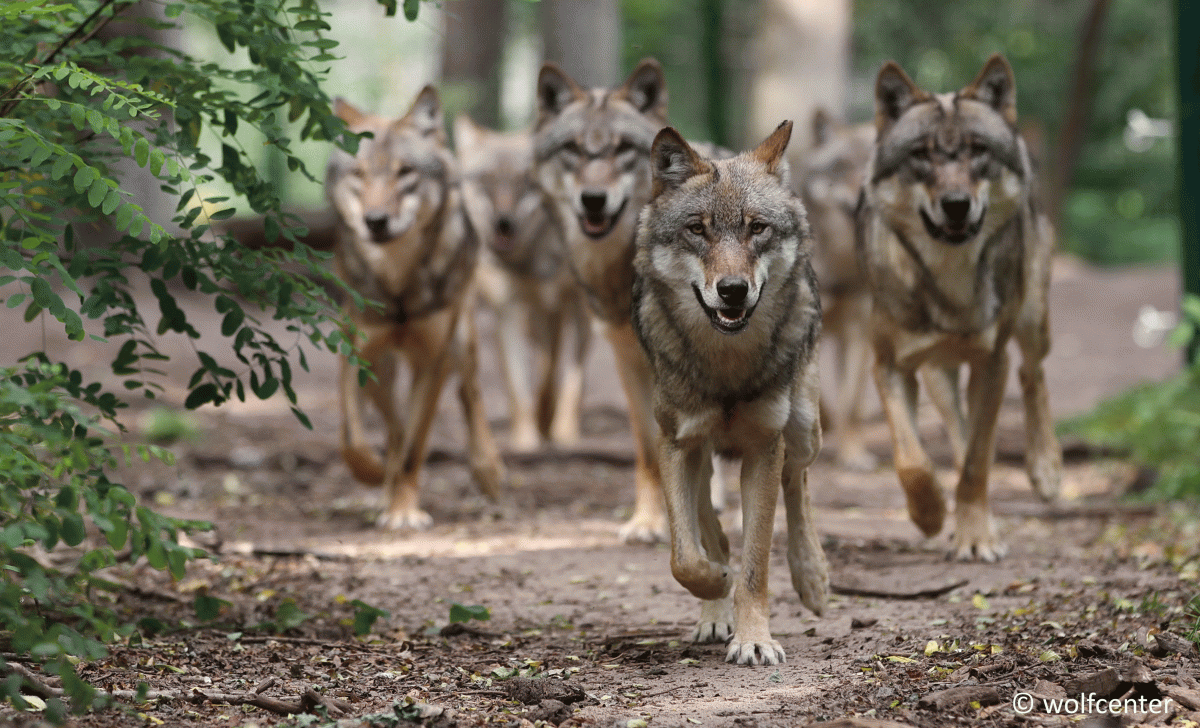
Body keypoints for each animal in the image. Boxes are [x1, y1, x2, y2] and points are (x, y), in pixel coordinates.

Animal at [326, 88, 504, 532]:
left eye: (405, 172)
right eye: (359, 174)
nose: (375, 221)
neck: (398, 286)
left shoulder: (431, 361)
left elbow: (413, 445)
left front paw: (404, 511)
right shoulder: (359, 352)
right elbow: (357, 438)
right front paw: (377, 477)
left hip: (462, 338)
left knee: (470, 391)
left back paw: (488, 469)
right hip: (387, 364)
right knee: (392, 420)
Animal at [456, 114, 592, 453]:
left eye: (523, 181)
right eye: (487, 179)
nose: (503, 223)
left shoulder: (582, 309)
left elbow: (572, 380)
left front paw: (565, 433)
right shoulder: (509, 310)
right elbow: (519, 387)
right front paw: (526, 440)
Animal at [628, 122, 835, 671]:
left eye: (757, 228)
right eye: (697, 230)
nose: (733, 290)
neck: (726, 365)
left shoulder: (764, 447)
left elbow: (757, 561)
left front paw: (755, 639)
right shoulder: (677, 444)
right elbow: (685, 557)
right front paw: (717, 587)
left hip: (802, 429)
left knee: (799, 483)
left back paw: (812, 576)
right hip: (700, 453)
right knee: (710, 528)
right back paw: (715, 610)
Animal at [859, 53, 1065, 561]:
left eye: (977, 151)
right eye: (921, 155)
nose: (956, 205)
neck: (949, 281)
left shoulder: (992, 364)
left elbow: (976, 463)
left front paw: (976, 538)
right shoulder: (889, 367)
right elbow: (912, 460)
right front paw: (930, 514)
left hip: (1032, 321)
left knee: (1032, 374)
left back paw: (1046, 469)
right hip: (938, 374)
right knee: (957, 430)